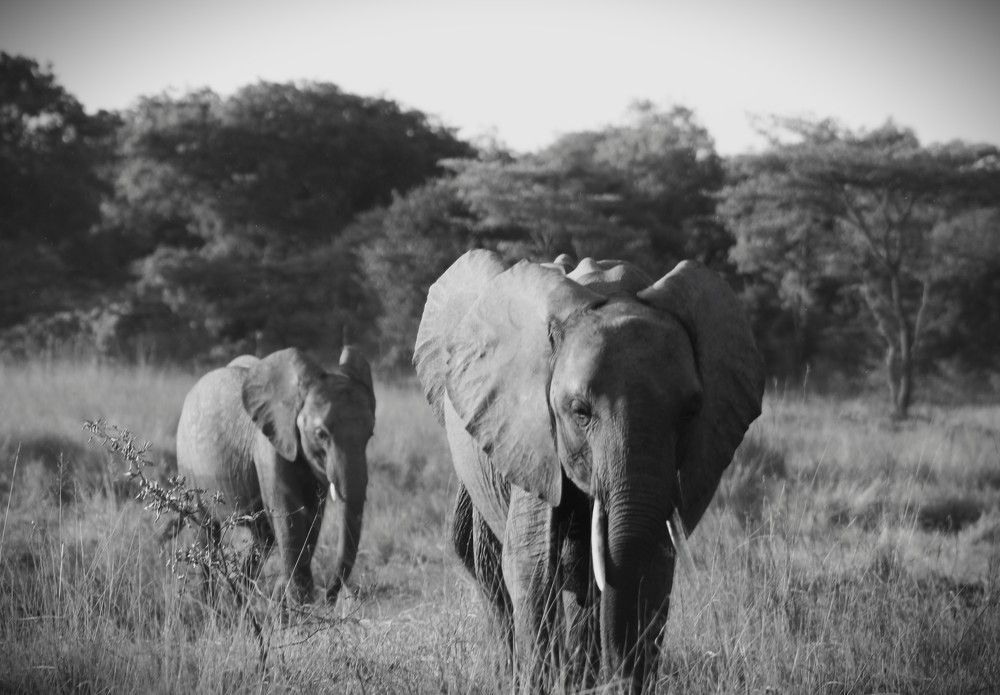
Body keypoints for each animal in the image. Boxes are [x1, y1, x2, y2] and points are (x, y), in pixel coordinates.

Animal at [175, 346, 376, 606]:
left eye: (370, 434)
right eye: (321, 434)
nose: (328, 598)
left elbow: (313, 518)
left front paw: (294, 601)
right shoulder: (268, 448)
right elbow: (289, 516)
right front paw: (300, 603)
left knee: (263, 538)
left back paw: (241, 597)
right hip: (188, 467)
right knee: (205, 534)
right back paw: (210, 605)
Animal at [414, 251, 764, 691]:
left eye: (690, 412)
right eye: (580, 411)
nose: (617, 681)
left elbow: (651, 567)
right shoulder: (531, 435)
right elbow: (531, 566)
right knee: (488, 566)